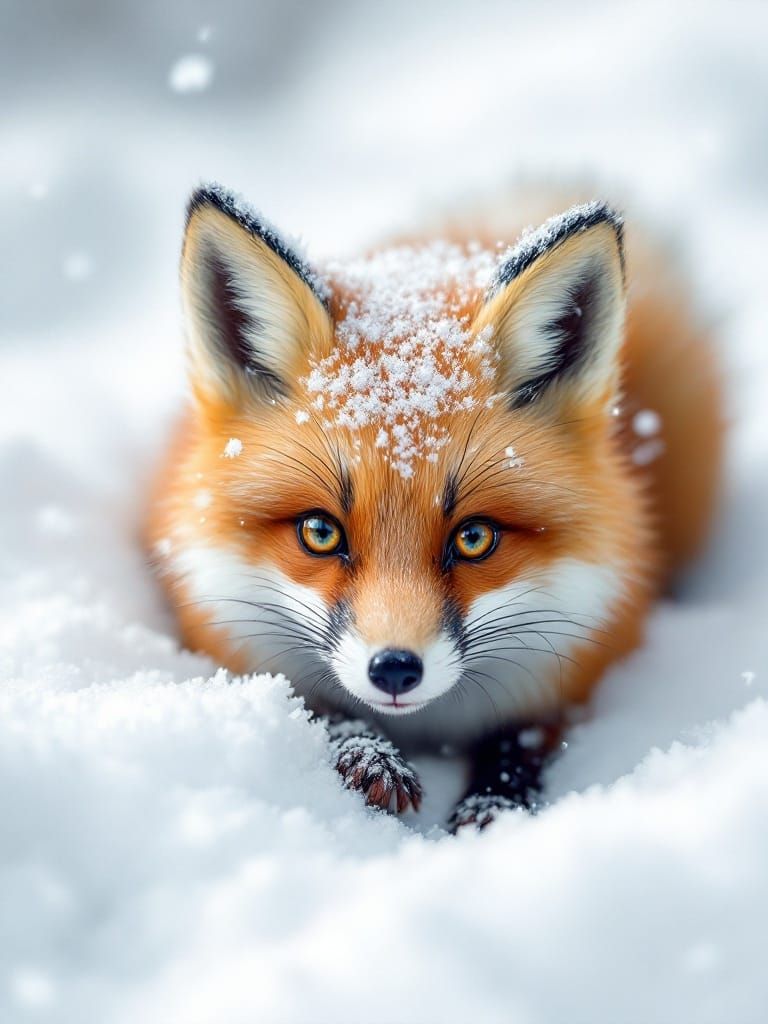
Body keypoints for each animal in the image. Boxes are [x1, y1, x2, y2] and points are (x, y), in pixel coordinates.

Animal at [147, 183, 723, 829]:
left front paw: (494, 805)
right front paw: (369, 757)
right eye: (320, 532)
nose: (395, 668)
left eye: (474, 538)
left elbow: (521, 739)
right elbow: (317, 705)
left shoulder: (582, 656)